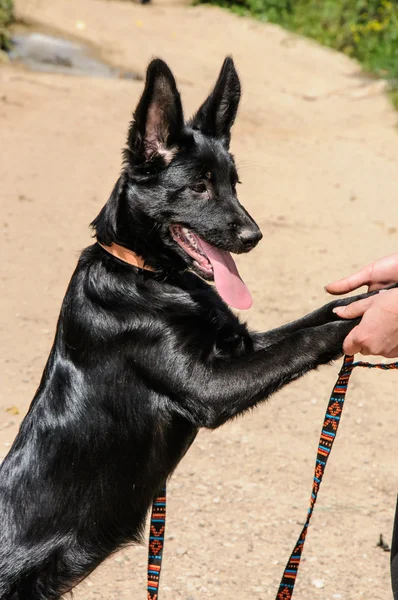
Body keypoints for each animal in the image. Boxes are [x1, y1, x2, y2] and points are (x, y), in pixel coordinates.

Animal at [0, 57, 368, 600]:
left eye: (236, 184)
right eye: (199, 186)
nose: (254, 237)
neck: (150, 275)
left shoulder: (239, 347)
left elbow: (326, 314)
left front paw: (373, 295)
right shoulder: (209, 386)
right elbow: (310, 337)